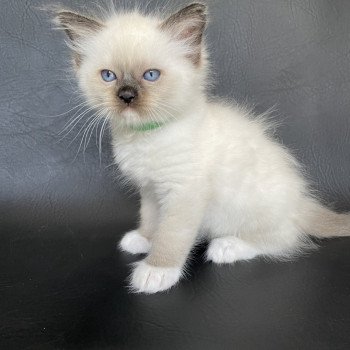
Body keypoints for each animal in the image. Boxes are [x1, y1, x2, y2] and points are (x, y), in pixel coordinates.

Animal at [52, 2, 350, 294]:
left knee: (284, 240)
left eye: (151, 75)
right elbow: (151, 220)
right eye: (108, 76)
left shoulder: (184, 192)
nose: (126, 96)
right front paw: (144, 239)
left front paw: (157, 271)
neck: (147, 137)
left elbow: (170, 235)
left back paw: (226, 247)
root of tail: (302, 202)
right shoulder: (150, 190)